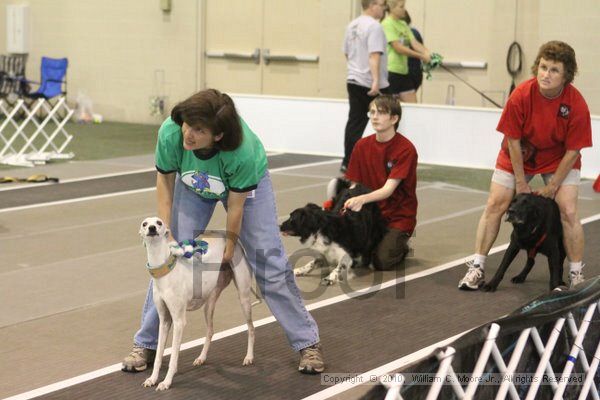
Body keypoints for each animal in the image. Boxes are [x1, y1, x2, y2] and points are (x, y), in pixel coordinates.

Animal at [139, 217, 255, 390]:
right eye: (144, 224)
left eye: (159, 222)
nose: (152, 228)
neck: (166, 272)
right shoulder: (164, 320)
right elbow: (159, 354)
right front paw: (152, 379)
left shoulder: (179, 321)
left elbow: (173, 356)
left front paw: (166, 382)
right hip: (209, 303)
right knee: (210, 331)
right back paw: (201, 357)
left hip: (244, 296)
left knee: (251, 328)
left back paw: (249, 357)